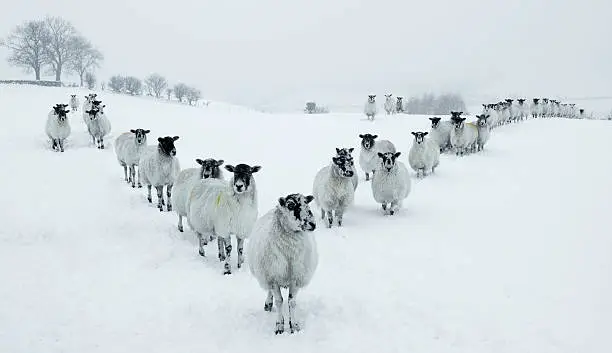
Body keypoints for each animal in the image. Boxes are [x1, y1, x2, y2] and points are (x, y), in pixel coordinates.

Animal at [246, 192, 318, 332]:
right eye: (290, 205)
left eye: (307, 203)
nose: (312, 224)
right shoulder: (273, 277)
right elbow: (279, 301)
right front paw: (279, 326)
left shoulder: (296, 277)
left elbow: (292, 302)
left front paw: (294, 325)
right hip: (266, 273)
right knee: (270, 292)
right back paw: (268, 304)